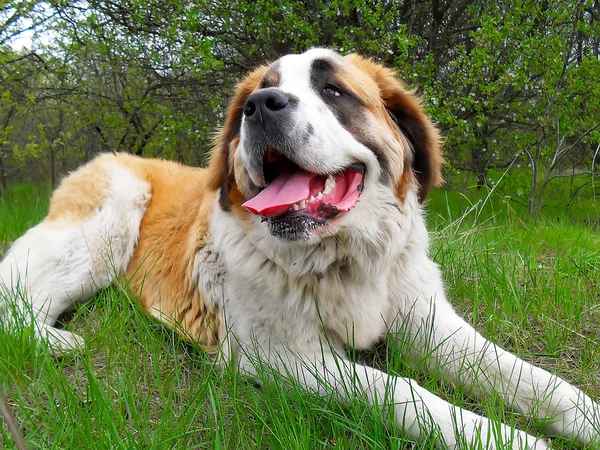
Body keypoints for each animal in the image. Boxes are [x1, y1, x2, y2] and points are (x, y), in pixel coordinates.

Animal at [1, 47, 600, 448]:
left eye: (333, 91)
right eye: (256, 94)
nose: (261, 105)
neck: (343, 259)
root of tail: (110, 157)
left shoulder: (434, 328)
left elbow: (537, 381)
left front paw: (585, 419)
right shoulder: (285, 356)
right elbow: (401, 391)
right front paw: (511, 439)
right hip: (109, 218)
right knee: (18, 301)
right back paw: (57, 341)